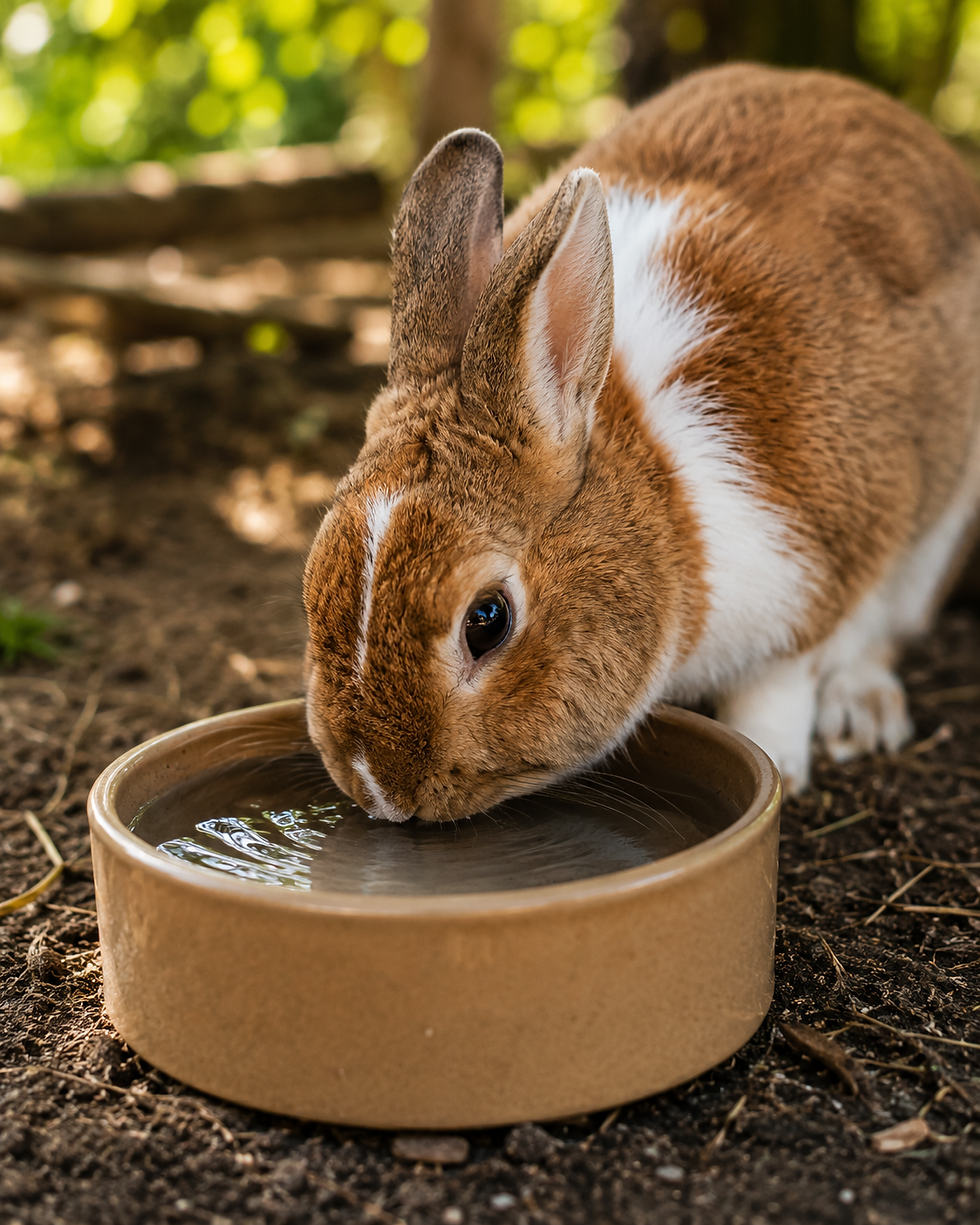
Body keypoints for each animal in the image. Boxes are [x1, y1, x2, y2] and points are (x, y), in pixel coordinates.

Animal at [302, 62, 980, 822]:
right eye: (313, 580)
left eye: (487, 620)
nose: (382, 792)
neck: (664, 499)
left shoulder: (810, 584)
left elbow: (778, 688)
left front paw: (780, 766)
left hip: (942, 523)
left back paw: (861, 710)